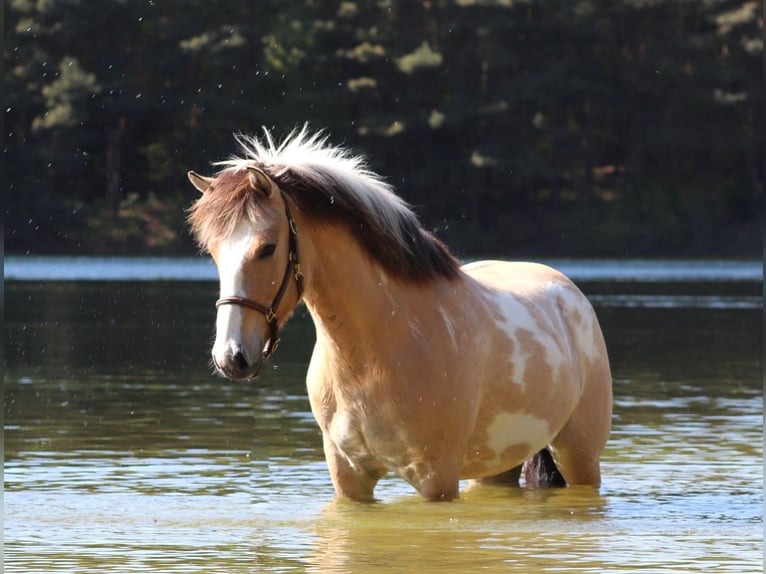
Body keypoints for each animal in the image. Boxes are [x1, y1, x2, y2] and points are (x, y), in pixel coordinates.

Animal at [187, 126, 612, 502]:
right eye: (213, 251)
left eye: (267, 248)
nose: (231, 357)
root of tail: (568, 293)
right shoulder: (349, 478)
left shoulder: (436, 479)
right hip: (496, 467)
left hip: (579, 457)